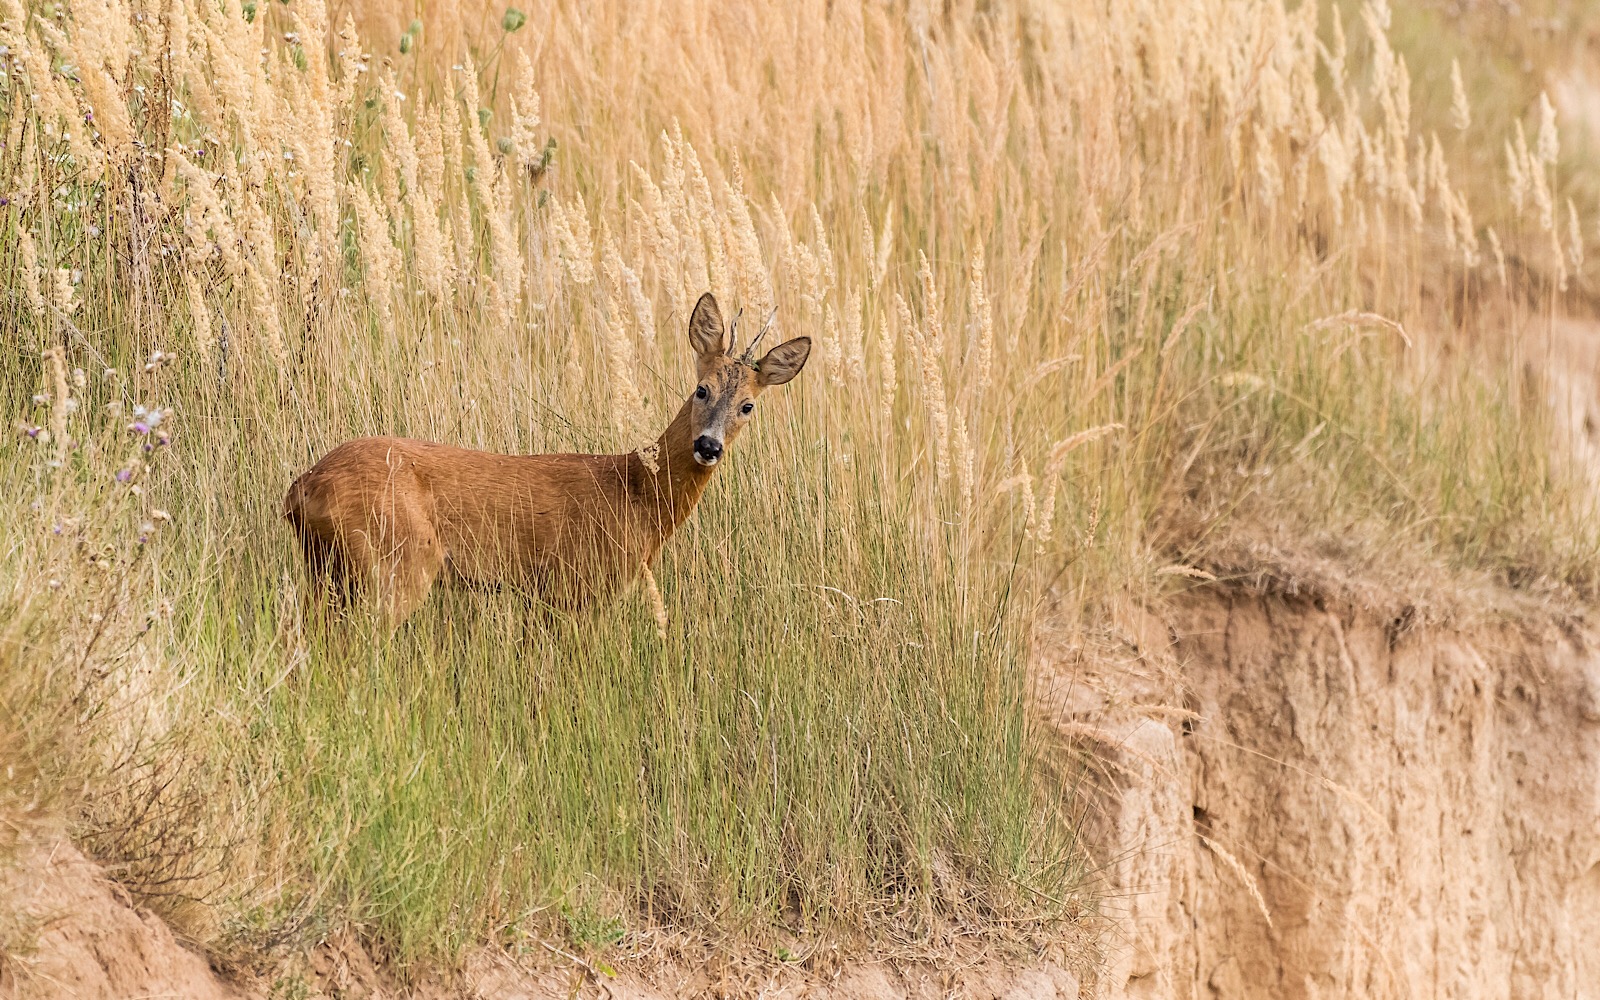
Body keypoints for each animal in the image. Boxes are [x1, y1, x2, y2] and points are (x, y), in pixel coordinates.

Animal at [283, 288, 812, 620]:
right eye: (702, 389)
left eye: (748, 406)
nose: (708, 445)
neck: (636, 495)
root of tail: (302, 486)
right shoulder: (577, 584)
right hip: (398, 559)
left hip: (326, 572)